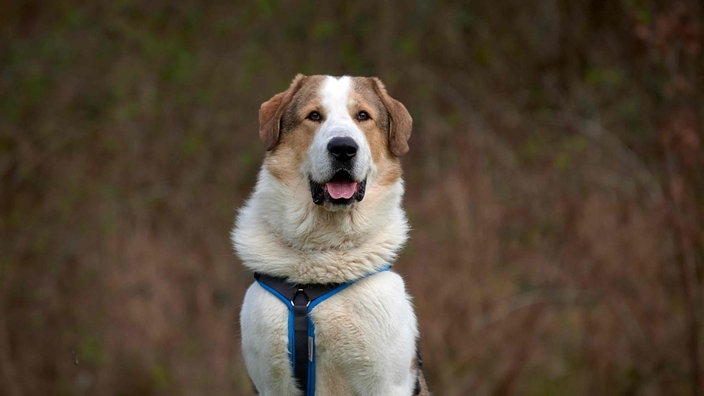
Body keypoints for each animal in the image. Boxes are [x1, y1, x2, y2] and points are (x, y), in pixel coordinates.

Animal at [234, 75, 426, 396]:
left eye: (363, 116)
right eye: (314, 116)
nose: (343, 148)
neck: (324, 249)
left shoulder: (387, 382)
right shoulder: (271, 381)